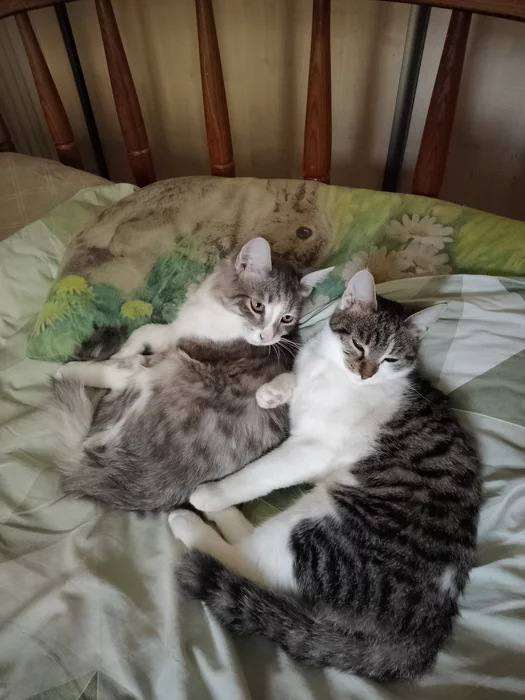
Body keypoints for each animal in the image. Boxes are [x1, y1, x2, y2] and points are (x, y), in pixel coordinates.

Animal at [51, 237, 332, 511]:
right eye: (257, 305)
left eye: (286, 318)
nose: (267, 337)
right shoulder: (176, 330)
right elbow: (143, 330)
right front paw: (126, 347)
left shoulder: (183, 344)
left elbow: (136, 341)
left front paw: (114, 355)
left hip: (152, 378)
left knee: (114, 376)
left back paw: (67, 371)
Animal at [170, 269, 482, 681]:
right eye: (359, 345)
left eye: (391, 358)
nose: (365, 374)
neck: (333, 372)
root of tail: (426, 630)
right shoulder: (309, 362)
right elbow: (293, 372)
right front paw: (273, 392)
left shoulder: (312, 448)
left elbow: (258, 474)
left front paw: (214, 493)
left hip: (323, 527)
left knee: (246, 561)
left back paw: (191, 518)